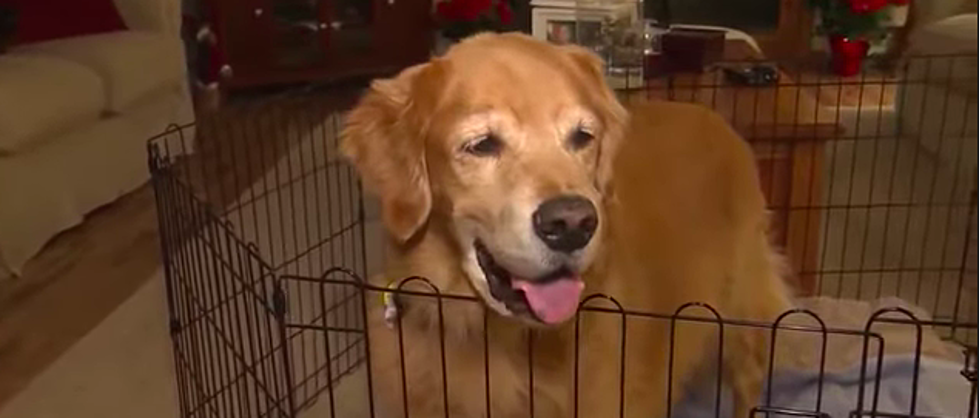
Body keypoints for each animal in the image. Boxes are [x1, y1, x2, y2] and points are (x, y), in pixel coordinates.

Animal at [340, 31, 792, 416]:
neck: (499, 341)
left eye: (582, 136)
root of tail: (710, 114)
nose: (573, 224)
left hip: (743, 322)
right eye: (482, 144)